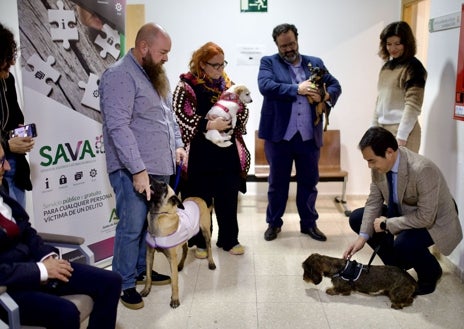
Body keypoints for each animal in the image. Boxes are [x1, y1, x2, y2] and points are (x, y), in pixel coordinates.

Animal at [140, 178, 216, 306]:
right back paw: (180, 265)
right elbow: (149, 275)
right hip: (185, 238)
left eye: (164, 186)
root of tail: (199, 199)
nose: (149, 177)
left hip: (206, 233)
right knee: (185, 250)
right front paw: (146, 290)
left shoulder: (172, 258)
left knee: (209, 248)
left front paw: (175, 299)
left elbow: (174, 281)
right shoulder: (149, 255)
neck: (159, 216)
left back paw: (211, 263)